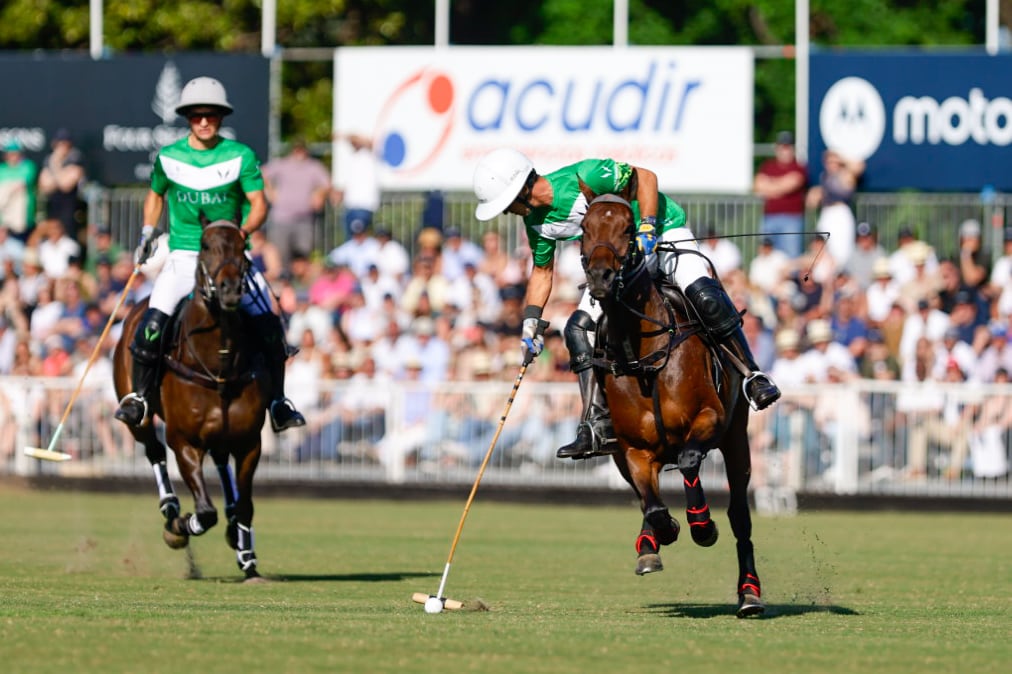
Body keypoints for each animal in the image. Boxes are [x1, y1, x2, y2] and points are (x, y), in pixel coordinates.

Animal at [113, 213, 271, 578]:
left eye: (243, 245)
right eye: (205, 245)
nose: (230, 289)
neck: (219, 363)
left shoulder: (249, 441)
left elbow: (246, 505)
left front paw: (247, 556)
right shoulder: (183, 439)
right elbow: (205, 511)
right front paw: (181, 527)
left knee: (222, 464)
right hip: (138, 417)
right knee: (153, 449)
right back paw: (171, 510)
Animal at [578, 187, 761, 615]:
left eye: (628, 228)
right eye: (584, 227)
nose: (600, 277)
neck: (644, 356)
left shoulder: (710, 418)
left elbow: (692, 460)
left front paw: (702, 526)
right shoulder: (633, 448)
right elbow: (654, 505)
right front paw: (660, 535)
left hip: (737, 437)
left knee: (740, 515)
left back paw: (749, 593)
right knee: (646, 498)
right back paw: (648, 544)